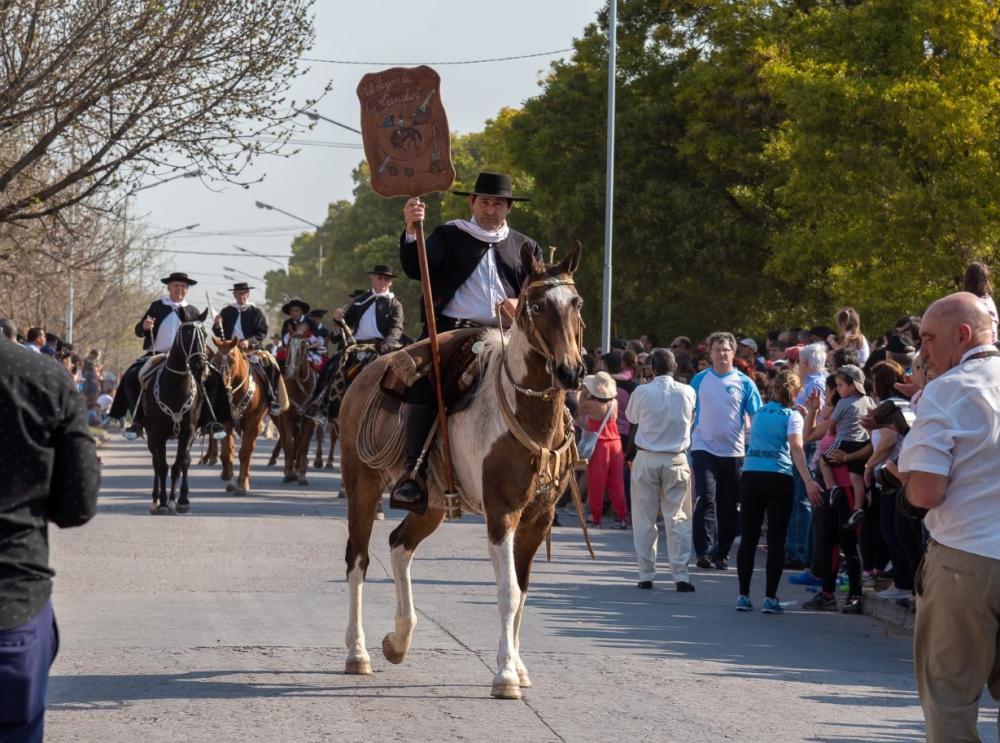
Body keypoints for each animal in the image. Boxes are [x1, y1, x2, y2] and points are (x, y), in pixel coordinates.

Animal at [143, 310, 211, 516]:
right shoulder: (157, 434)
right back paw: (156, 499)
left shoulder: (188, 433)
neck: (176, 387)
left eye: (205, 334)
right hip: (151, 437)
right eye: (187, 334)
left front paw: (181, 500)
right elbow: (162, 466)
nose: (200, 366)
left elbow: (182, 463)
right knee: (156, 463)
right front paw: (163, 503)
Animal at [214, 340, 286, 496]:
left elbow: (245, 453)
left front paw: (242, 485)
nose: (222, 386)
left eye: (232, 359)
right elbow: (226, 453)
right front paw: (227, 476)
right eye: (215, 360)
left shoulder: (253, 424)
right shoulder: (227, 423)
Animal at [278, 336, 316, 486]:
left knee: (299, 442)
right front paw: (289, 473)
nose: (290, 373)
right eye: (289, 347)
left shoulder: (309, 420)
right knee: (287, 441)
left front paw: (302, 475)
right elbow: (289, 443)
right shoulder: (287, 418)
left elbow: (304, 445)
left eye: (303, 348)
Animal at [340, 244, 584, 696]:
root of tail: (364, 374)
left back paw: (398, 640)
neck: (524, 415)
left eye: (575, 303)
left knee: (399, 545)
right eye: (536, 305)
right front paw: (504, 675)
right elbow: (507, 590)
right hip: (361, 485)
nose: (571, 371)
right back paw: (358, 653)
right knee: (358, 560)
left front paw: (518, 666)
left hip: (432, 503)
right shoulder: (502, 513)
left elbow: (523, 590)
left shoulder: (538, 518)